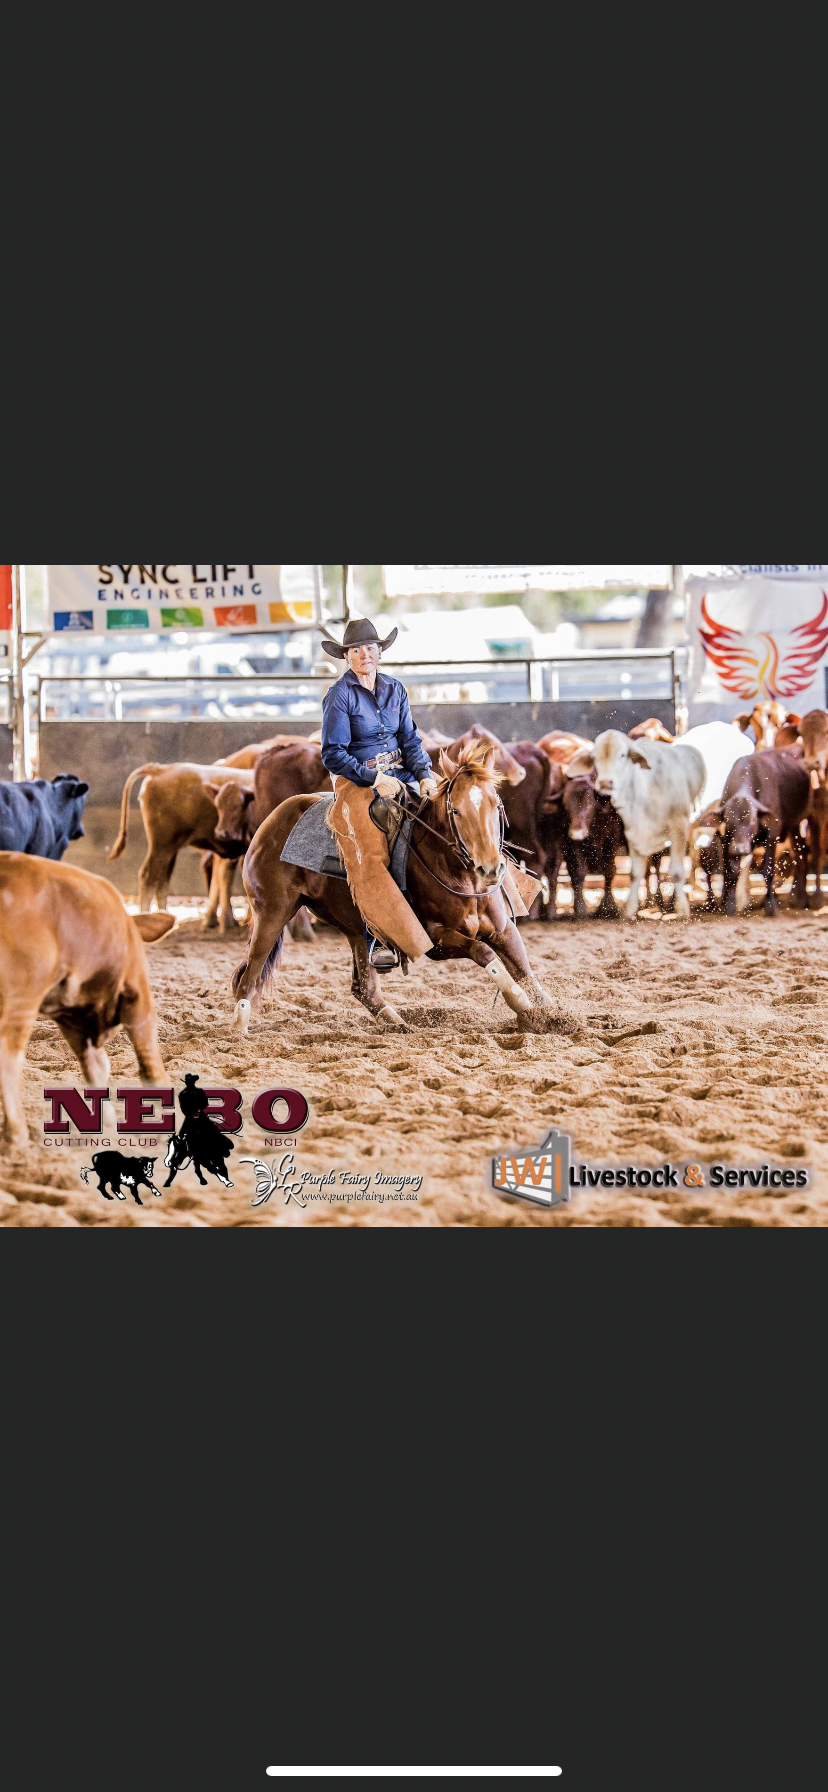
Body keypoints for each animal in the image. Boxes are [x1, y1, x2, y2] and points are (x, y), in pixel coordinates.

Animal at [0, 856, 174, 1147]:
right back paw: (16, 1134)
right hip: (21, 995)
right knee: (8, 1058)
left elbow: (96, 1067)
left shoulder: (73, 1020)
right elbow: (149, 1063)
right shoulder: (137, 994)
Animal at [108, 763, 257, 929]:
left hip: (169, 848)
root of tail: (161, 769)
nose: (221, 832)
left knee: (163, 879)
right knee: (149, 876)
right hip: (161, 846)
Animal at [231, 740, 559, 1036]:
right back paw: (239, 1029)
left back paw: (398, 1024)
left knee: (364, 988)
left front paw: (552, 1016)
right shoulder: (435, 938)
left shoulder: (503, 930)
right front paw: (521, 1004)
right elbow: (484, 952)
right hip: (271, 913)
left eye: (496, 804)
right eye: (456, 811)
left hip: (357, 928)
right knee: (249, 975)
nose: (489, 868)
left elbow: (526, 971)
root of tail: (272, 822)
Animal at [567, 732, 706, 921]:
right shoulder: (632, 832)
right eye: (594, 758)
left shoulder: (679, 827)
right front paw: (630, 910)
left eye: (623, 755)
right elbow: (635, 873)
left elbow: (677, 871)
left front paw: (682, 909)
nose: (605, 783)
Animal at [706, 751, 812, 917]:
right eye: (728, 821)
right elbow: (732, 872)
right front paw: (730, 905)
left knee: (800, 857)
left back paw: (802, 900)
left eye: (752, 821)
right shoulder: (728, 840)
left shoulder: (772, 835)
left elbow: (767, 870)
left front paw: (770, 906)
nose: (740, 849)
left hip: (799, 823)